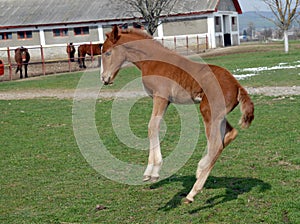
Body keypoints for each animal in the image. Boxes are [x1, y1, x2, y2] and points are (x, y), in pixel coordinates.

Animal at [101, 25, 255, 204]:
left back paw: (192, 192)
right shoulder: (166, 101)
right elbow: (155, 127)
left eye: (107, 53)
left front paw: (152, 172)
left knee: (217, 143)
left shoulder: (160, 97)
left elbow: (152, 126)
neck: (152, 60)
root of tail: (237, 85)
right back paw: (200, 169)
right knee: (229, 135)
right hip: (218, 116)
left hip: (208, 112)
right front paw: (150, 172)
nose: (104, 78)